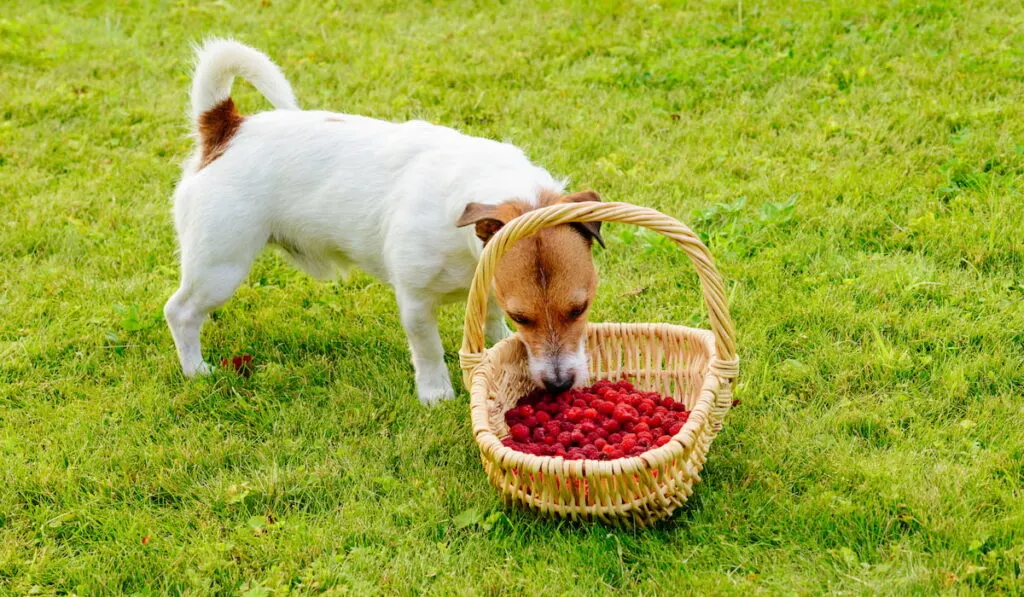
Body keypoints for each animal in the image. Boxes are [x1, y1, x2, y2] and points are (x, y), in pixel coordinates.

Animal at [163, 40, 602, 405]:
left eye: (580, 309)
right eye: (523, 317)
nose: (560, 384)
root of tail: (226, 128)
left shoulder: (489, 282)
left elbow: (491, 325)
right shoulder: (415, 302)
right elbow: (427, 349)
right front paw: (436, 394)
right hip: (220, 265)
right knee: (180, 311)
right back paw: (196, 370)